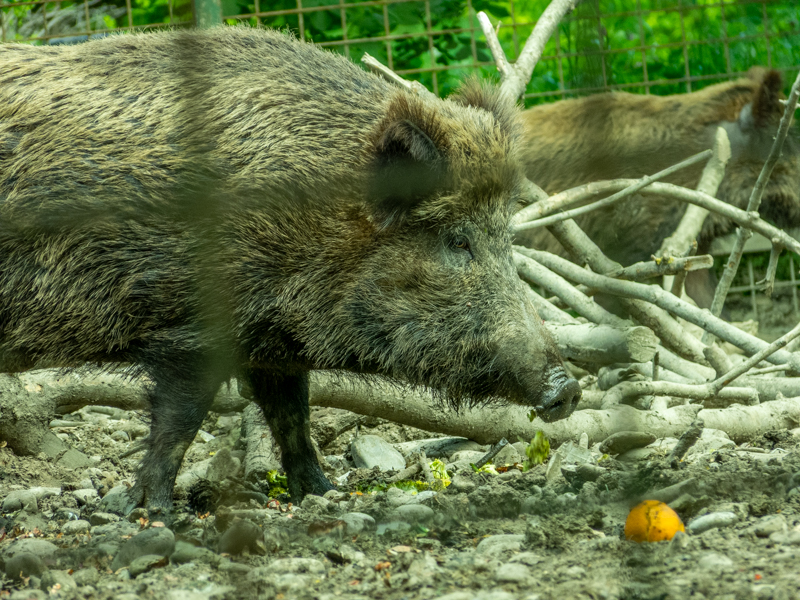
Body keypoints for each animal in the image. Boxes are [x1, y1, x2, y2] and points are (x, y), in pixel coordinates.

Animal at [0, 27, 581, 514]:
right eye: (457, 240)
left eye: (505, 237)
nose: (568, 389)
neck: (315, 222)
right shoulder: (194, 332)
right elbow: (179, 422)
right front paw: (149, 510)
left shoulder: (272, 344)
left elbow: (292, 417)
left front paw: (321, 494)